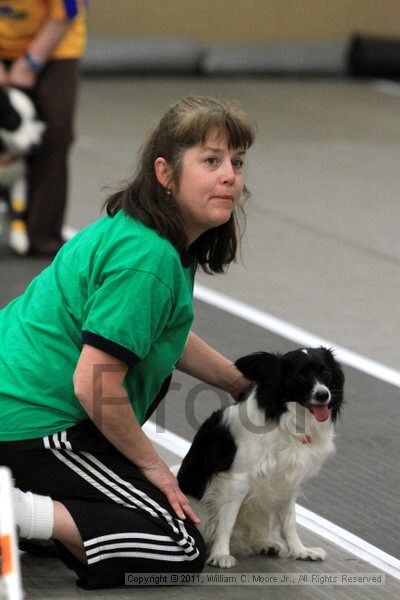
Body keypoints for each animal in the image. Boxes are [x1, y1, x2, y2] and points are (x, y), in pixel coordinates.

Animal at [0, 86, 44, 253]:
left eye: (33, 118)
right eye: (13, 120)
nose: (35, 146)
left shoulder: (20, 176)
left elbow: (19, 207)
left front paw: (19, 239)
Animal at [177, 346, 344, 568]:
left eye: (325, 372)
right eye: (300, 376)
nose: (323, 395)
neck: (288, 422)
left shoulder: (287, 482)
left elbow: (290, 521)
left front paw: (300, 550)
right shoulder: (236, 481)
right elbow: (227, 521)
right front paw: (220, 554)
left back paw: (263, 544)